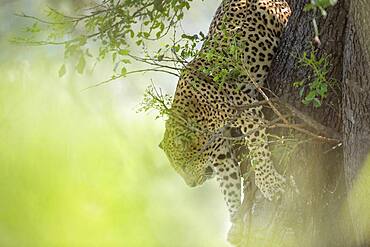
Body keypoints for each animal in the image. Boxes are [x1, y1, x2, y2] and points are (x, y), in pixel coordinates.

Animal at [159, 0, 292, 243]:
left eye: (183, 166)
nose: (191, 185)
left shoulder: (247, 111)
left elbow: (258, 152)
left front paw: (270, 185)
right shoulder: (221, 153)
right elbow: (228, 184)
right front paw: (236, 222)